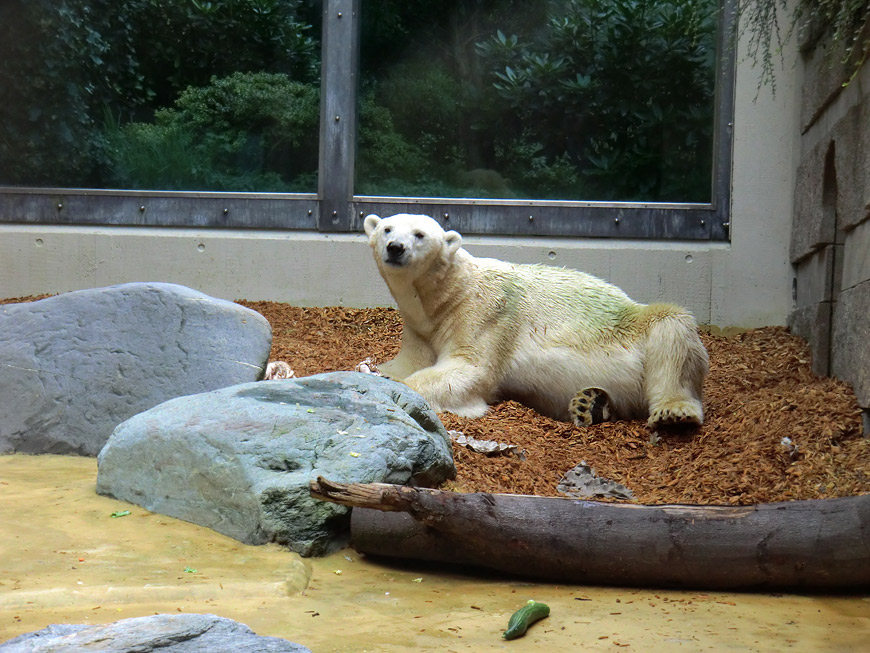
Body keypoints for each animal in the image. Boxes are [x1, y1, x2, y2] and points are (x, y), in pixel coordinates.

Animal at [364, 213, 712, 428]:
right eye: (387, 229)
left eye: (420, 234)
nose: (395, 248)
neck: (450, 294)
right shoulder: (421, 327)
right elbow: (408, 361)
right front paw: (376, 370)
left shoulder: (484, 314)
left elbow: (470, 369)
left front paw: (397, 388)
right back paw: (590, 404)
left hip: (638, 326)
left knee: (671, 327)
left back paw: (674, 412)